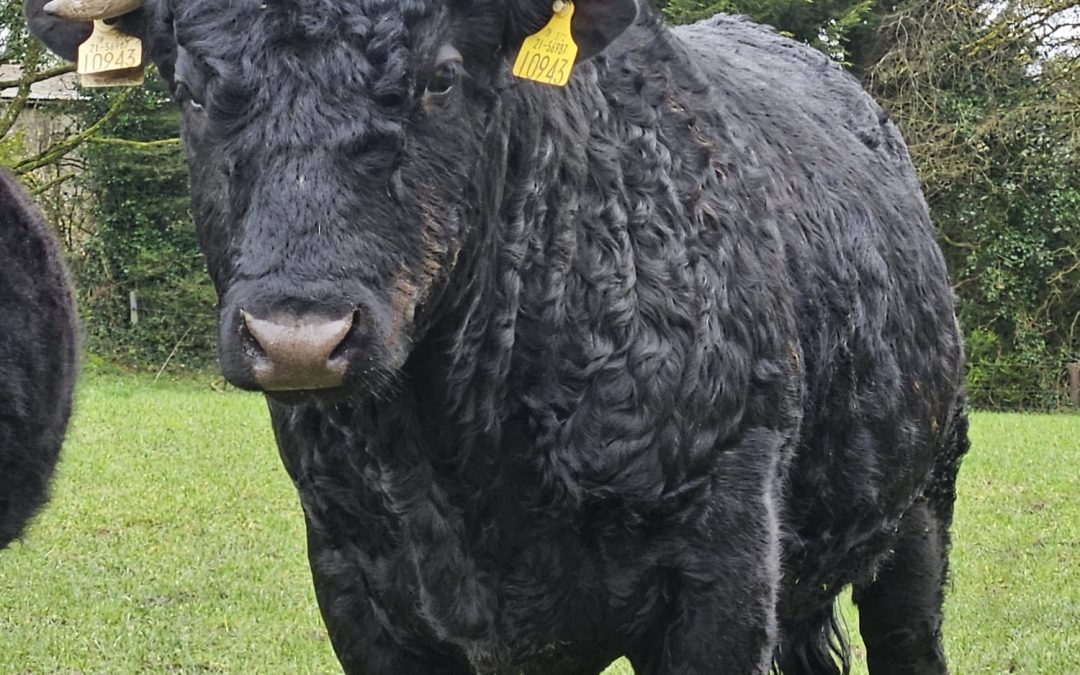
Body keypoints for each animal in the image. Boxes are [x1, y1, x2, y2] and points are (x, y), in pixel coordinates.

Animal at [28, 1, 970, 673]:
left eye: (442, 77)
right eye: (188, 88)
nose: (300, 336)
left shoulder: (724, 571)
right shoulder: (355, 579)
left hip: (921, 513)